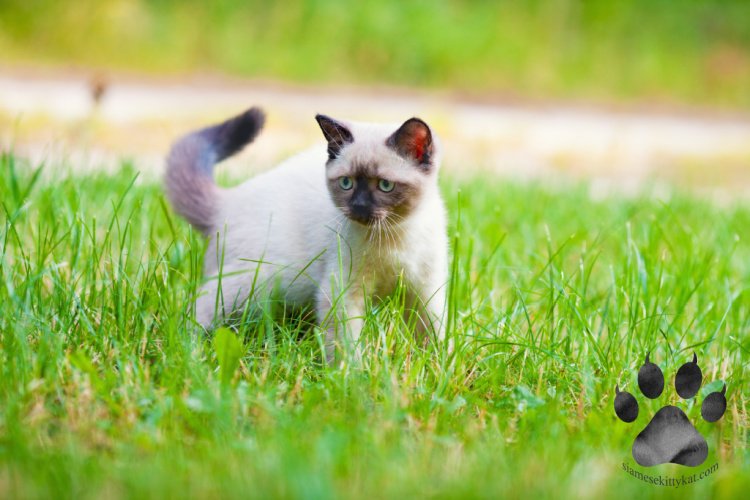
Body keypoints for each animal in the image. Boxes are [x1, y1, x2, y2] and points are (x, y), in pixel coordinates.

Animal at [167, 107, 450, 362]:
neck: (393, 234)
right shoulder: (341, 292)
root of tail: (227, 200)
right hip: (253, 281)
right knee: (200, 308)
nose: (359, 207)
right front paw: (353, 376)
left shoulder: (426, 292)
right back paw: (188, 349)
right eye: (346, 183)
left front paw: (436, 367)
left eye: (385, 185)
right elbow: (345, 348)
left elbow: (432, 334)